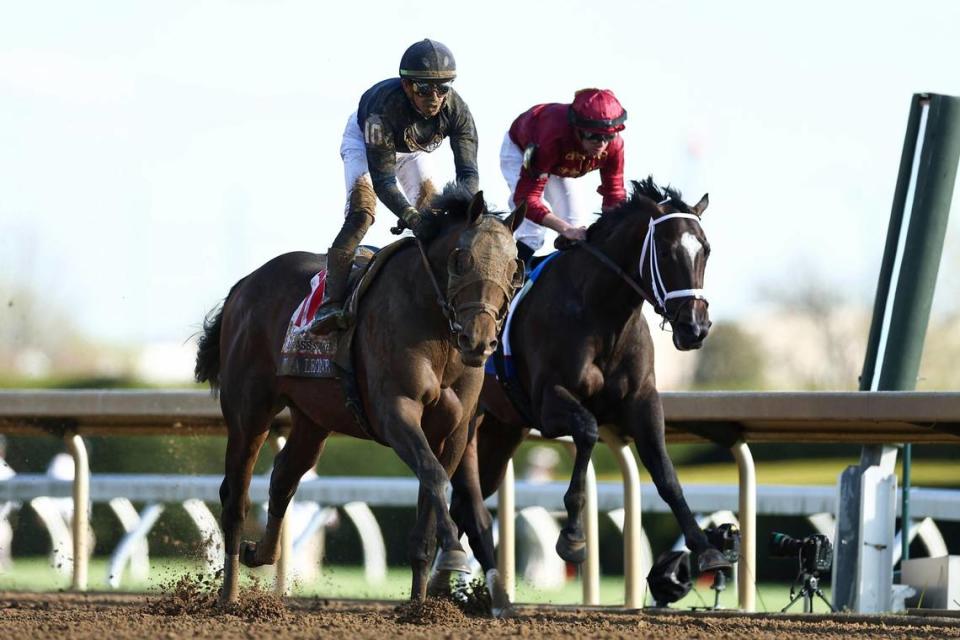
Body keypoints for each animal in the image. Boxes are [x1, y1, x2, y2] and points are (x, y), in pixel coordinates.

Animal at [194, 186, 524, 604]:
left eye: (514, 268)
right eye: (462, 259)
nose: (479, 341)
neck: (435, 332)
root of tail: (244, 285)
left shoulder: (455, 429)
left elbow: (432, 495)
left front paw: (422, 605)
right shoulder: (395, 412)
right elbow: (433, 473)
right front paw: (453, 554)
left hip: (313, 420)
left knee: (284, 476)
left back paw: (261, 553)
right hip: (249, 411)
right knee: (235, 495)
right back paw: (230, 595)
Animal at [442, 176, 728, 604]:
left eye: (705, 250)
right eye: (666, 250)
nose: (694, 327)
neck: (600, 310)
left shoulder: (643, 404)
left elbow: (666, 474)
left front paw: (707, 550)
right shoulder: (549, 402)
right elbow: (589, 431)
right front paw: (574, 539)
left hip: (500, 428)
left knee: (467, 501)